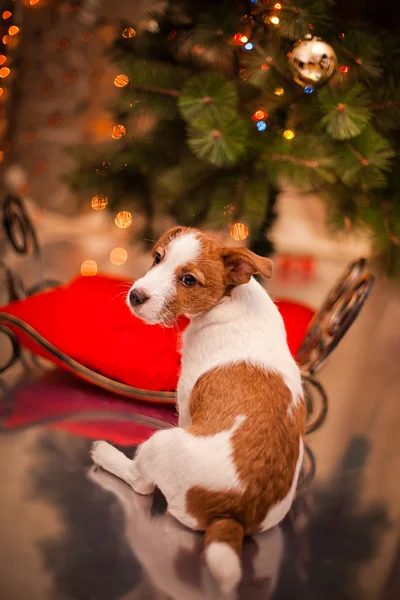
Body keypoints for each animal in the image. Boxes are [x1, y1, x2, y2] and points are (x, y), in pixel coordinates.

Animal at [92, 226, 306, 596]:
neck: (230, 301)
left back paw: (106, 455)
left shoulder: (186, 398)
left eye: (189, 280)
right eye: (158, 258)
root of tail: (232, 515)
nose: (135, 296)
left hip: (160, 445)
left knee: (141, 484)